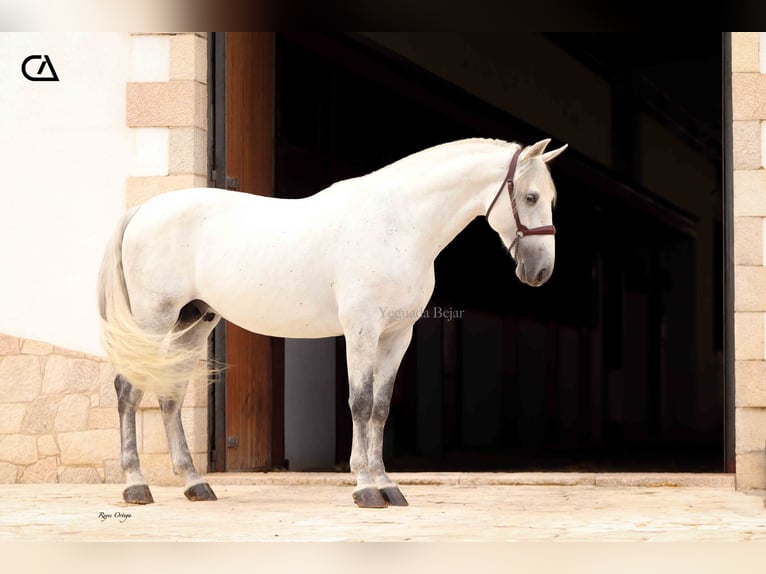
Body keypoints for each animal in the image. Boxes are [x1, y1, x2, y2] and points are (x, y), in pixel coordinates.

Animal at [97, 137, 564, 510]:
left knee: (171, 396)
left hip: (194, 322)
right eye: (531, 197)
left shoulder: (397, 336)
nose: (540, 272)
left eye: (551, 199)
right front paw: (365, 488)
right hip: (154, 318)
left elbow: (380, 407)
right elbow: (360, 403)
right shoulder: (361, 328)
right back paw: (136, 485)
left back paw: (195, 484)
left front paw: (388, 486)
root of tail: (143, 210)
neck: (398, 224)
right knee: (127, 390)